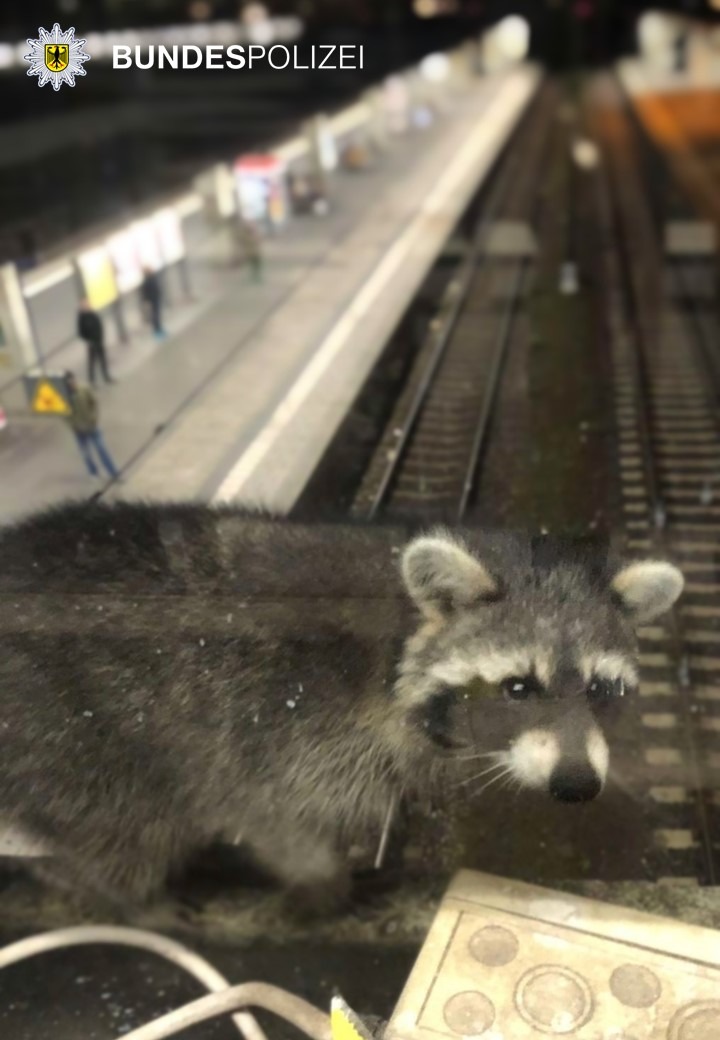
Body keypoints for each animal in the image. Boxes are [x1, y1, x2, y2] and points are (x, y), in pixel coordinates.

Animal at [0, 503, 682, 911]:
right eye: (518, 687)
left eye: (599, 690)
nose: (577, 783)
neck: (402, 624)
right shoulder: (278, 729)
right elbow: (270, 816)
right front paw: (322, 885)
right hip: (73, 744)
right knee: (127, 842)